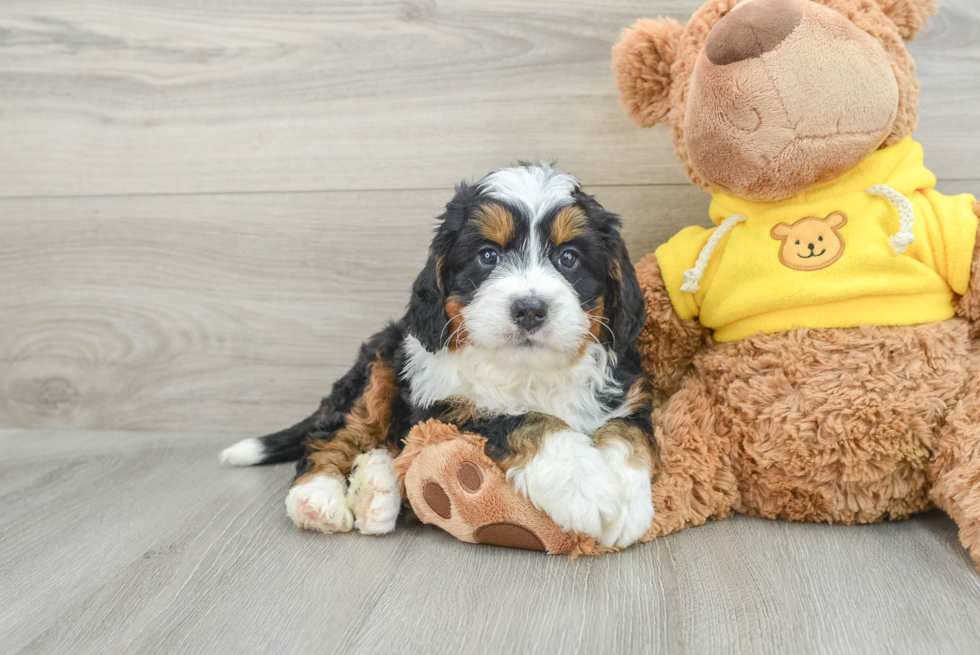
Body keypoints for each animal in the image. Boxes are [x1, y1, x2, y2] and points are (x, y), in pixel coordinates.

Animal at [222, 163, 660, 548]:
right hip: (379, 366)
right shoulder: (447, 409)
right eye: (488, 256)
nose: (530, 309)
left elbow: (630, 433)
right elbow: (524, 418)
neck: (529, 370)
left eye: (568, 258)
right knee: (334, 434)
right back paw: (318, 498)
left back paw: (375, 489)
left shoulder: (628, 391)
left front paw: (629, 502)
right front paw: (584, 486)